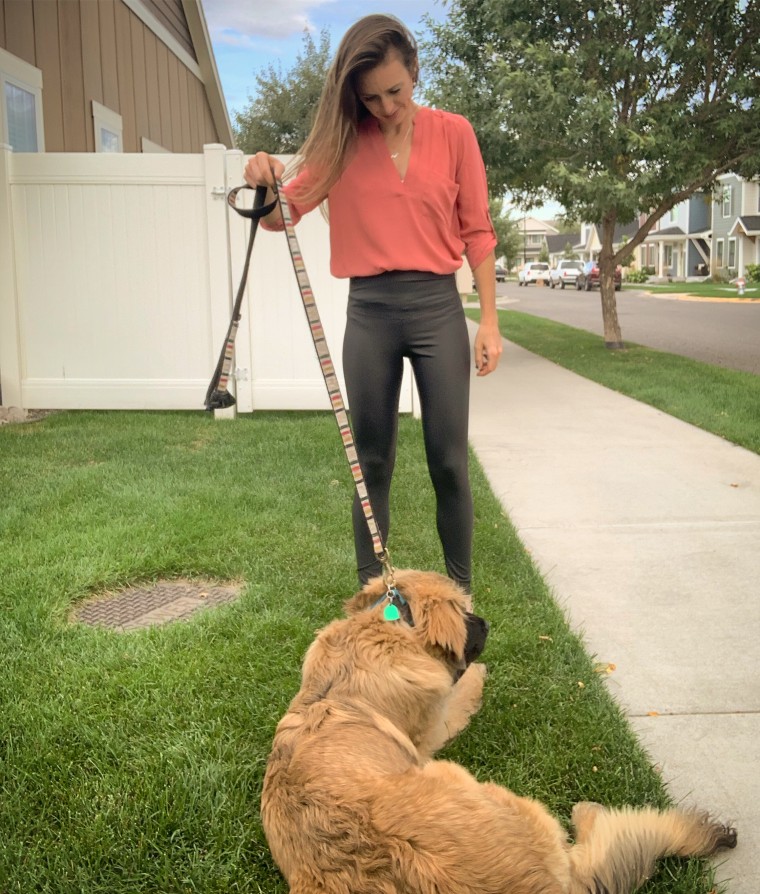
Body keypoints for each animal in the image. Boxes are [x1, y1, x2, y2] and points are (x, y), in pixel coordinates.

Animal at [262, 576, 736, 894]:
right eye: (465, 612)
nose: (487, 622)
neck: (385, 630)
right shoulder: (435, 727)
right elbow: (465, 687)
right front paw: (481, 673)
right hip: (475, 785)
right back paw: (588, 812)